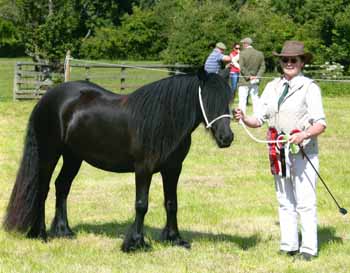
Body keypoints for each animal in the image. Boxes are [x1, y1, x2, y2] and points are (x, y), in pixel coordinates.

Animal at [4, 69, 234, 251]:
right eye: (206, 100)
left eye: (227, 101)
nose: (227, 138)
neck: (163, 120)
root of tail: (46, 98)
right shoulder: (143, 169)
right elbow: (141, 205)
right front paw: (135, 243)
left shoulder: (173, 169)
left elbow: (171, 203)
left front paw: (174, 239)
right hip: (49, 153)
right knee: (42, 189)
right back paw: (40, 234)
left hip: (73, 156)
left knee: (62, 187)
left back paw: (63, 231)